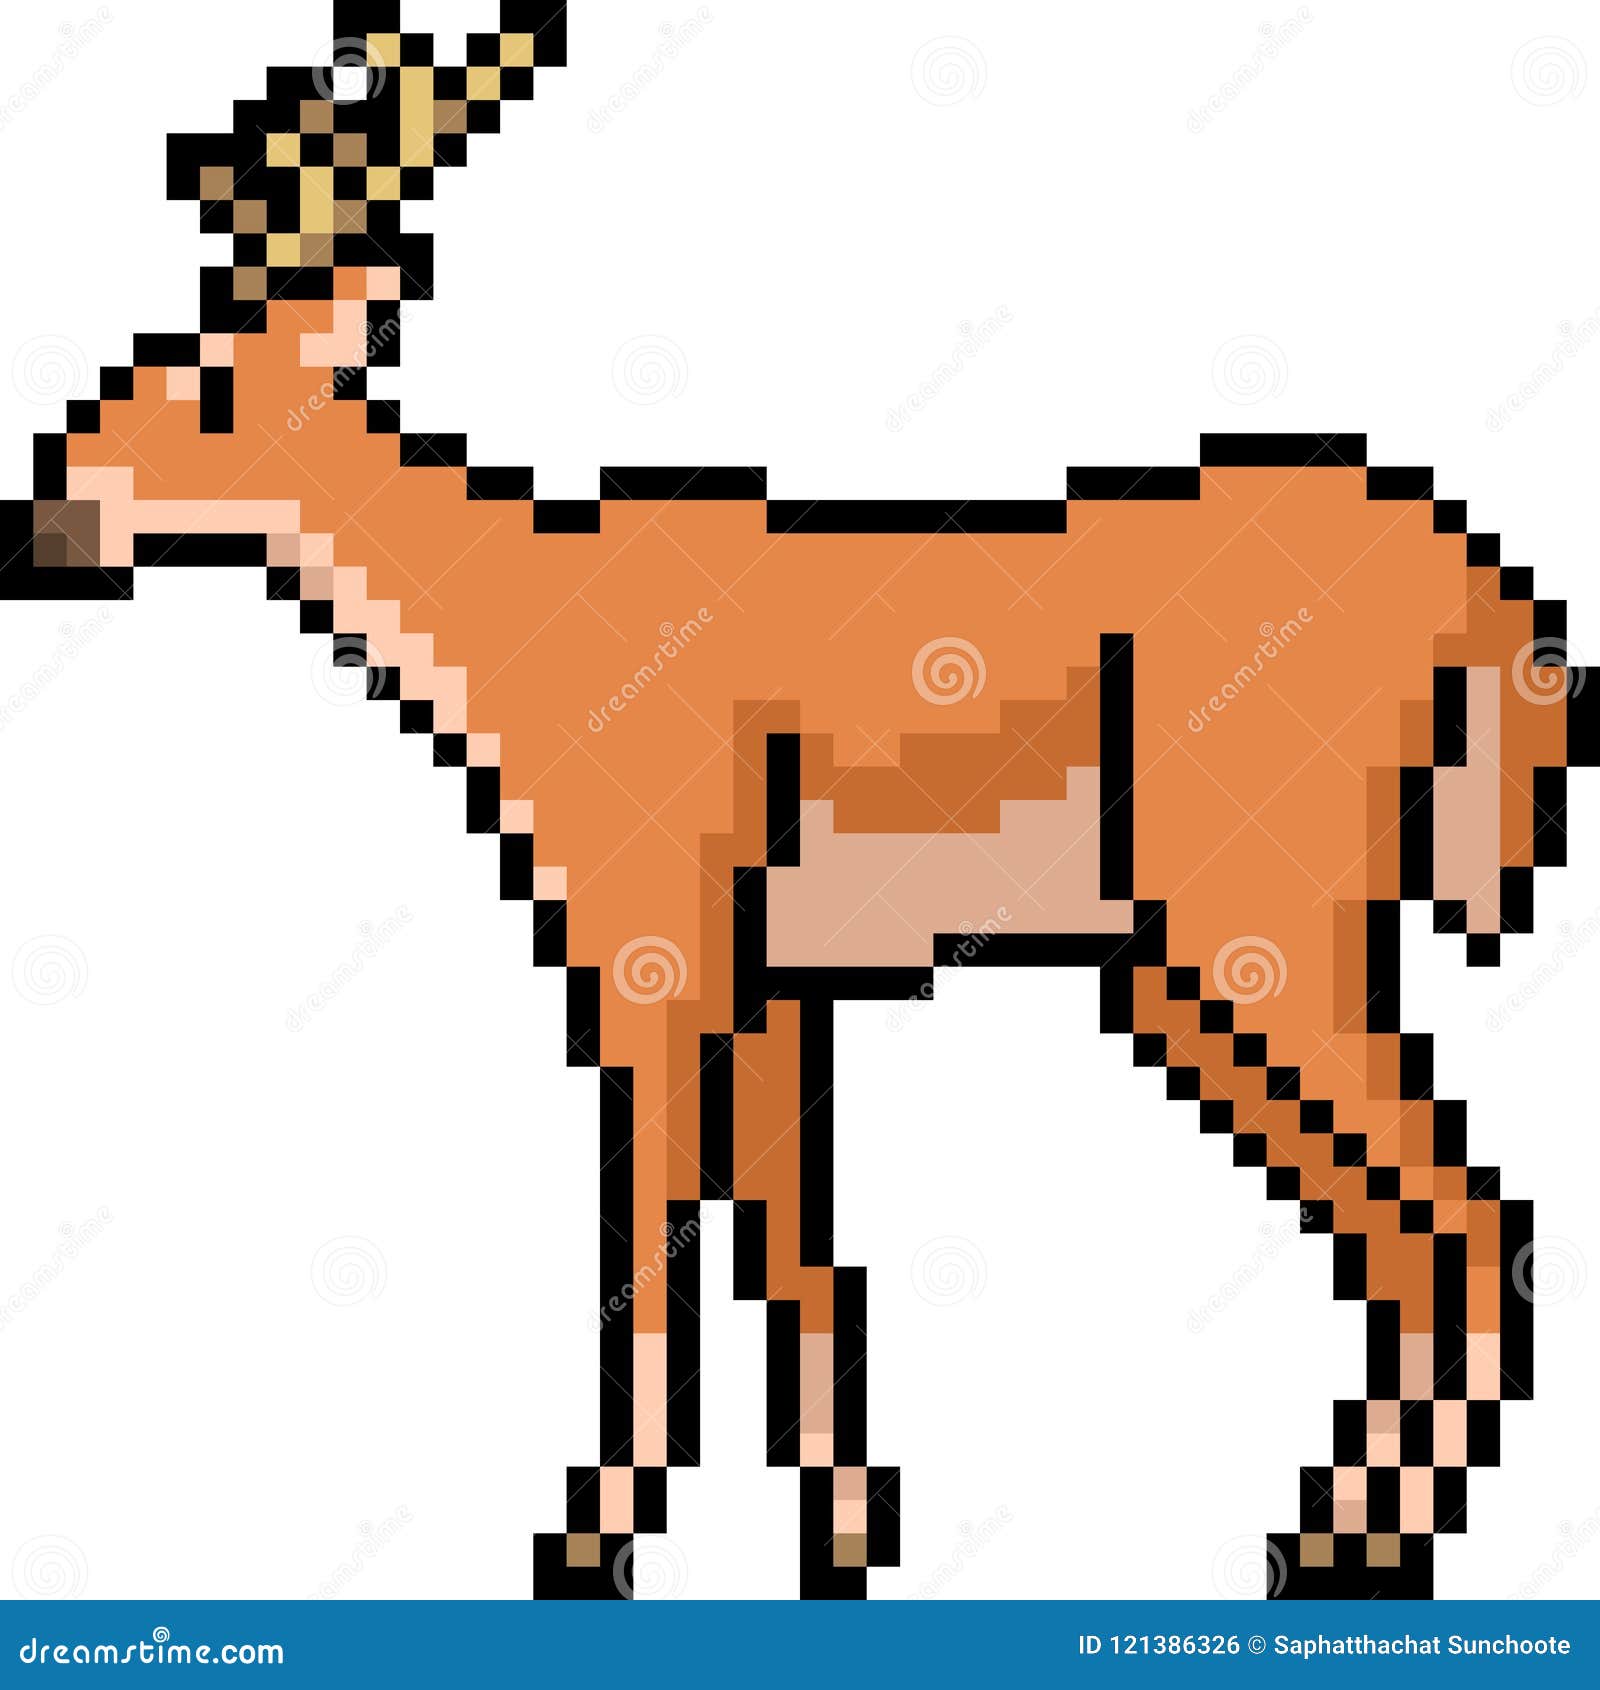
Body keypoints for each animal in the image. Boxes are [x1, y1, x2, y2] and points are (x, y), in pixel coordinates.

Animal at [2, 2, 1591, 1600]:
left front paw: (592, 1540)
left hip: (1250, 930)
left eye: (209, 382)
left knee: (1468, 1205)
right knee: (1409, 1217)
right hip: (1179, 967)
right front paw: (841, 1532)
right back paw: (1326, 1532)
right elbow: (793, 1246)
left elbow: (650, 1240)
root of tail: (1490, 593)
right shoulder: (776, 982)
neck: (526, 619)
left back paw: (1360, 1540)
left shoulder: (649, 947)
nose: (51, 517)